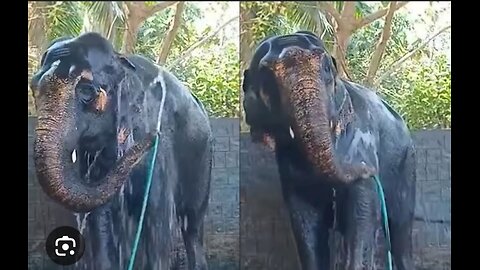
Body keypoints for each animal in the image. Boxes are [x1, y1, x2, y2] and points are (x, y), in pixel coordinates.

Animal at [28, 32, 212, 270]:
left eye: (86, 91)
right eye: (34, 90)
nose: (153, 137)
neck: (121, 59)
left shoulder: (160, 146)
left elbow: (157, 214)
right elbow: (100, 216)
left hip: (204, 157)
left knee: (192, 223)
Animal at [244, 30, 416, 268]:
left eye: (326, 68)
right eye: (267, 76)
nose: (368, 167)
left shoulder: (361, 133)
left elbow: (363, 205)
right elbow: (306, 214)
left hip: (406, 163)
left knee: (399, 227)